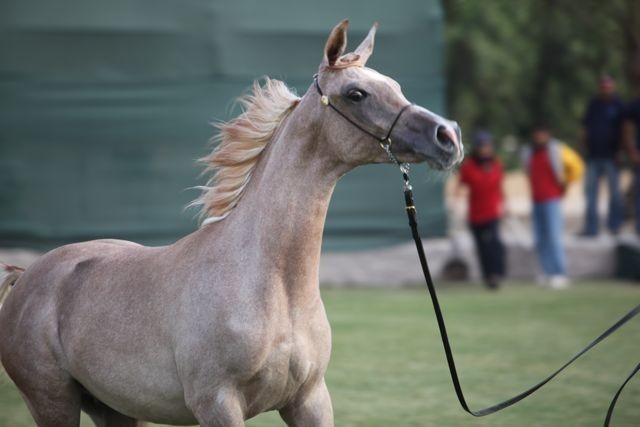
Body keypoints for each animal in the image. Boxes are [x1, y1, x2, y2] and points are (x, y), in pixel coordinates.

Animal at [0, 20, 462, 426]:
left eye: (395, 86)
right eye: (356, 93)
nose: (449, 136)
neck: (272, 284)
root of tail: (26, 277)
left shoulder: (309, 400)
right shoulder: (218, 404)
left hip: (116, 410)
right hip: (54, 404)